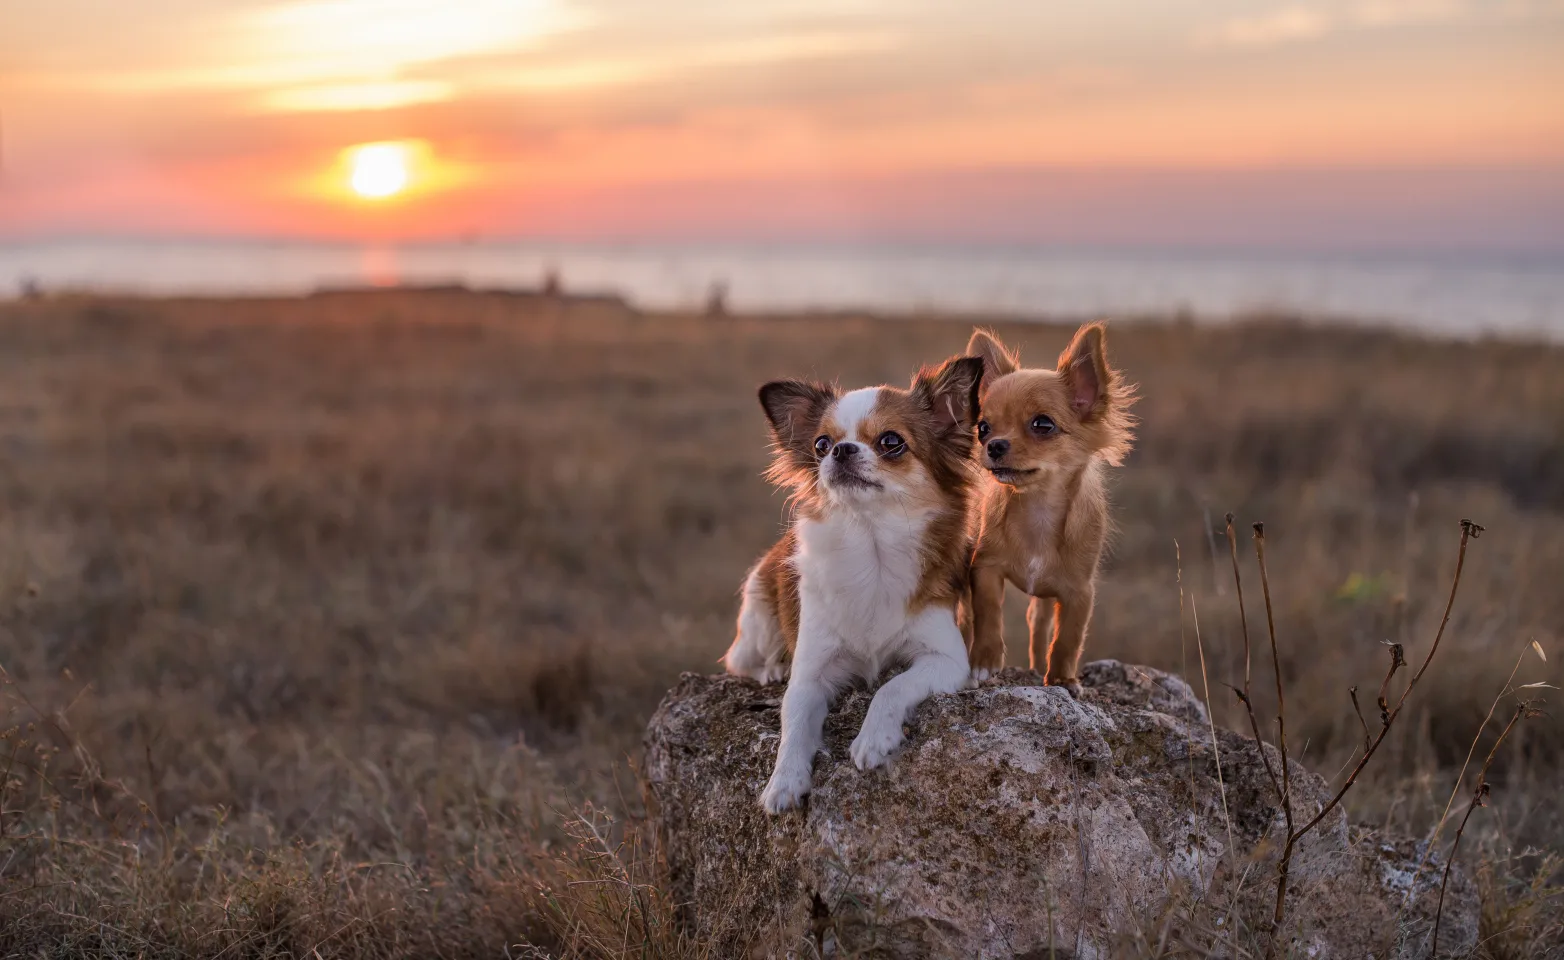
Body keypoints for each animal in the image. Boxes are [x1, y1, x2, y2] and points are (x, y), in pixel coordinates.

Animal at [716, 358, 975, 819]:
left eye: (891, 442)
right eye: (821, 444)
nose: (841, 450)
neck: (871, 549)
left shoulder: (945, 659)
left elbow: (892, 686)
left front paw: (873, 739)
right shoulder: (811, 674)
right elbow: (793, 720)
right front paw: (784, 781)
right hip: (758, 613)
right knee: (742, 662)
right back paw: (772, 668)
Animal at [957, 326, 1132, 697]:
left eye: (1043, 425)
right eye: (983, 428)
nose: (994, 446)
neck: (1037, 508)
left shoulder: (1079, 592)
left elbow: (1068, 638)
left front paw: (1063, 679)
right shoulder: (985, 568)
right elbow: (988, 613)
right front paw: (985, 660)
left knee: (1039, 625)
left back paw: (1039, 667)